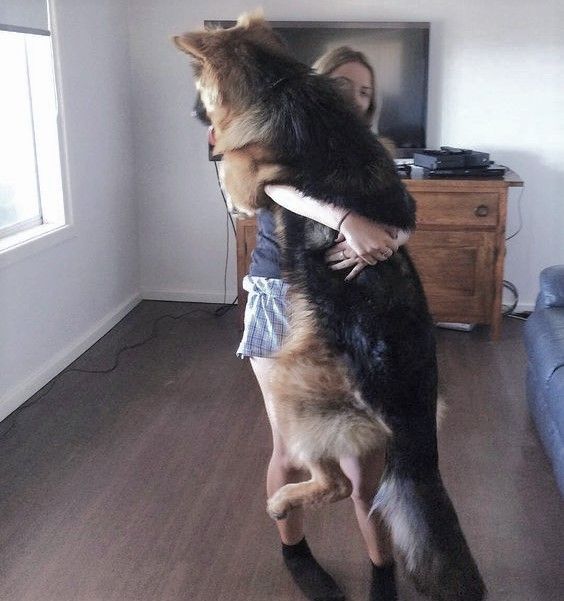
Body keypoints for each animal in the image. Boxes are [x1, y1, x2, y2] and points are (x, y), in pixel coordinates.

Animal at [173, 10, 484, 600]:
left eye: (198, 84)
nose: (197, 123)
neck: (278, 84)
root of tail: (411, 417)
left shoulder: (246, 181)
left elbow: (239, 176)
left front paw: (224, 151)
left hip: (294, 397)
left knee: (335, 484)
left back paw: (280, 502)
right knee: (347, 485)